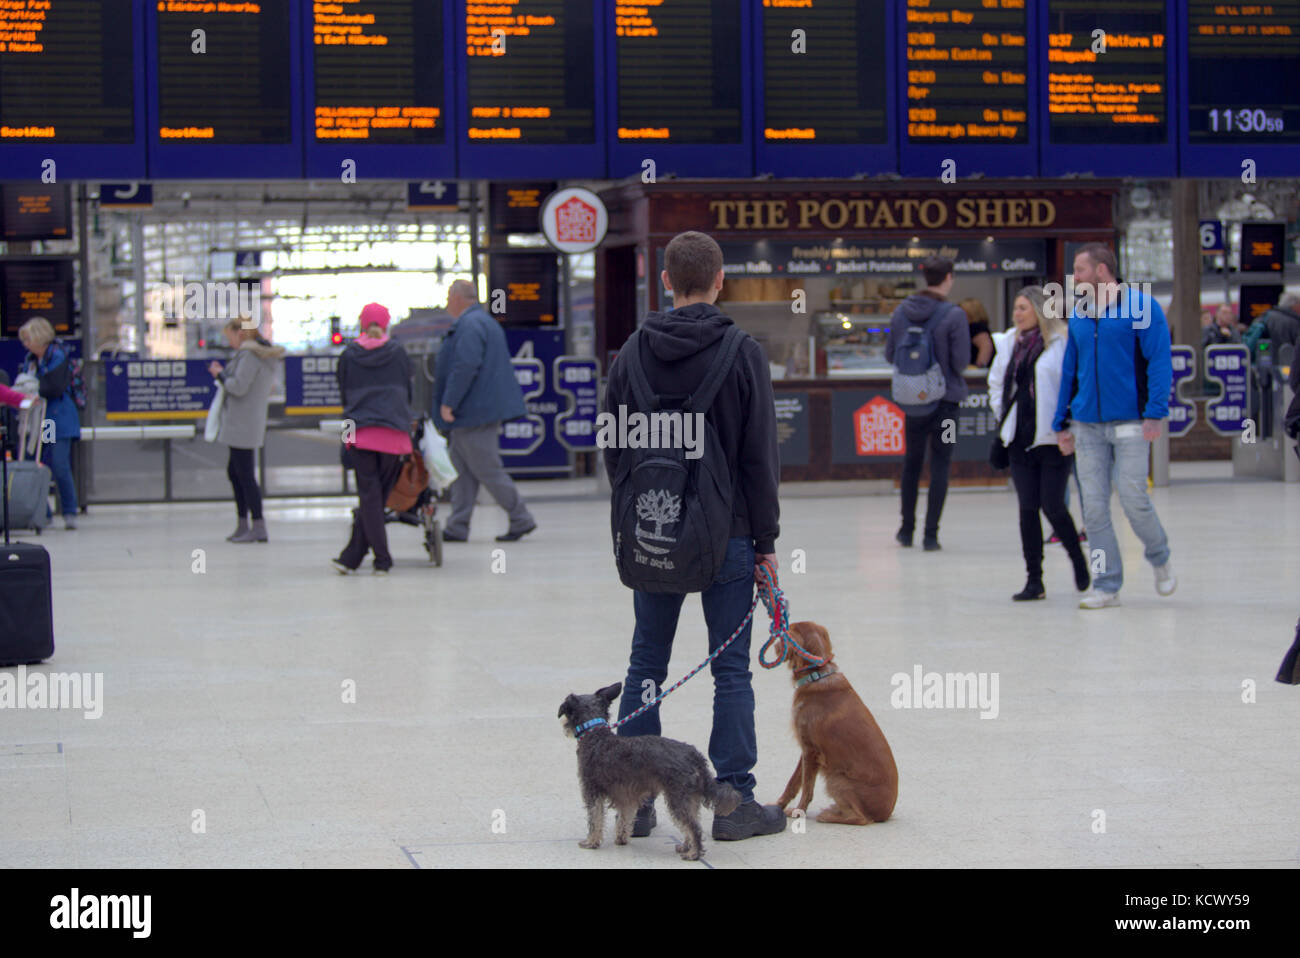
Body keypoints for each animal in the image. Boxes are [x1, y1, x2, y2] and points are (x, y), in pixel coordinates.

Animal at [556, 681, 743, 857]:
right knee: (691, 824)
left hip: (677, 798)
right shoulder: (626, 797)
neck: (595, 734)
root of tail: (694, 755)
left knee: (693, 827)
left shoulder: (592, 791)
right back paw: (686, 847)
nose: (563, 724)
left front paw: (591, 842)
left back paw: (693, 853)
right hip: (690, 798)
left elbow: (595, 819)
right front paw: (621, 839)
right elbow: (624, 819)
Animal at [769, 621, 894, 821]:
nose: (774, 645)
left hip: (836, 778)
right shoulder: (806, 749)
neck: (817, 676)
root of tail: (884, 814)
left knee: (861, 818)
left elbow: (807, 787)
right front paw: (779, 805)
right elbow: (794, 782)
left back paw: (828, 815)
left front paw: (799, 811)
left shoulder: (810, 750)